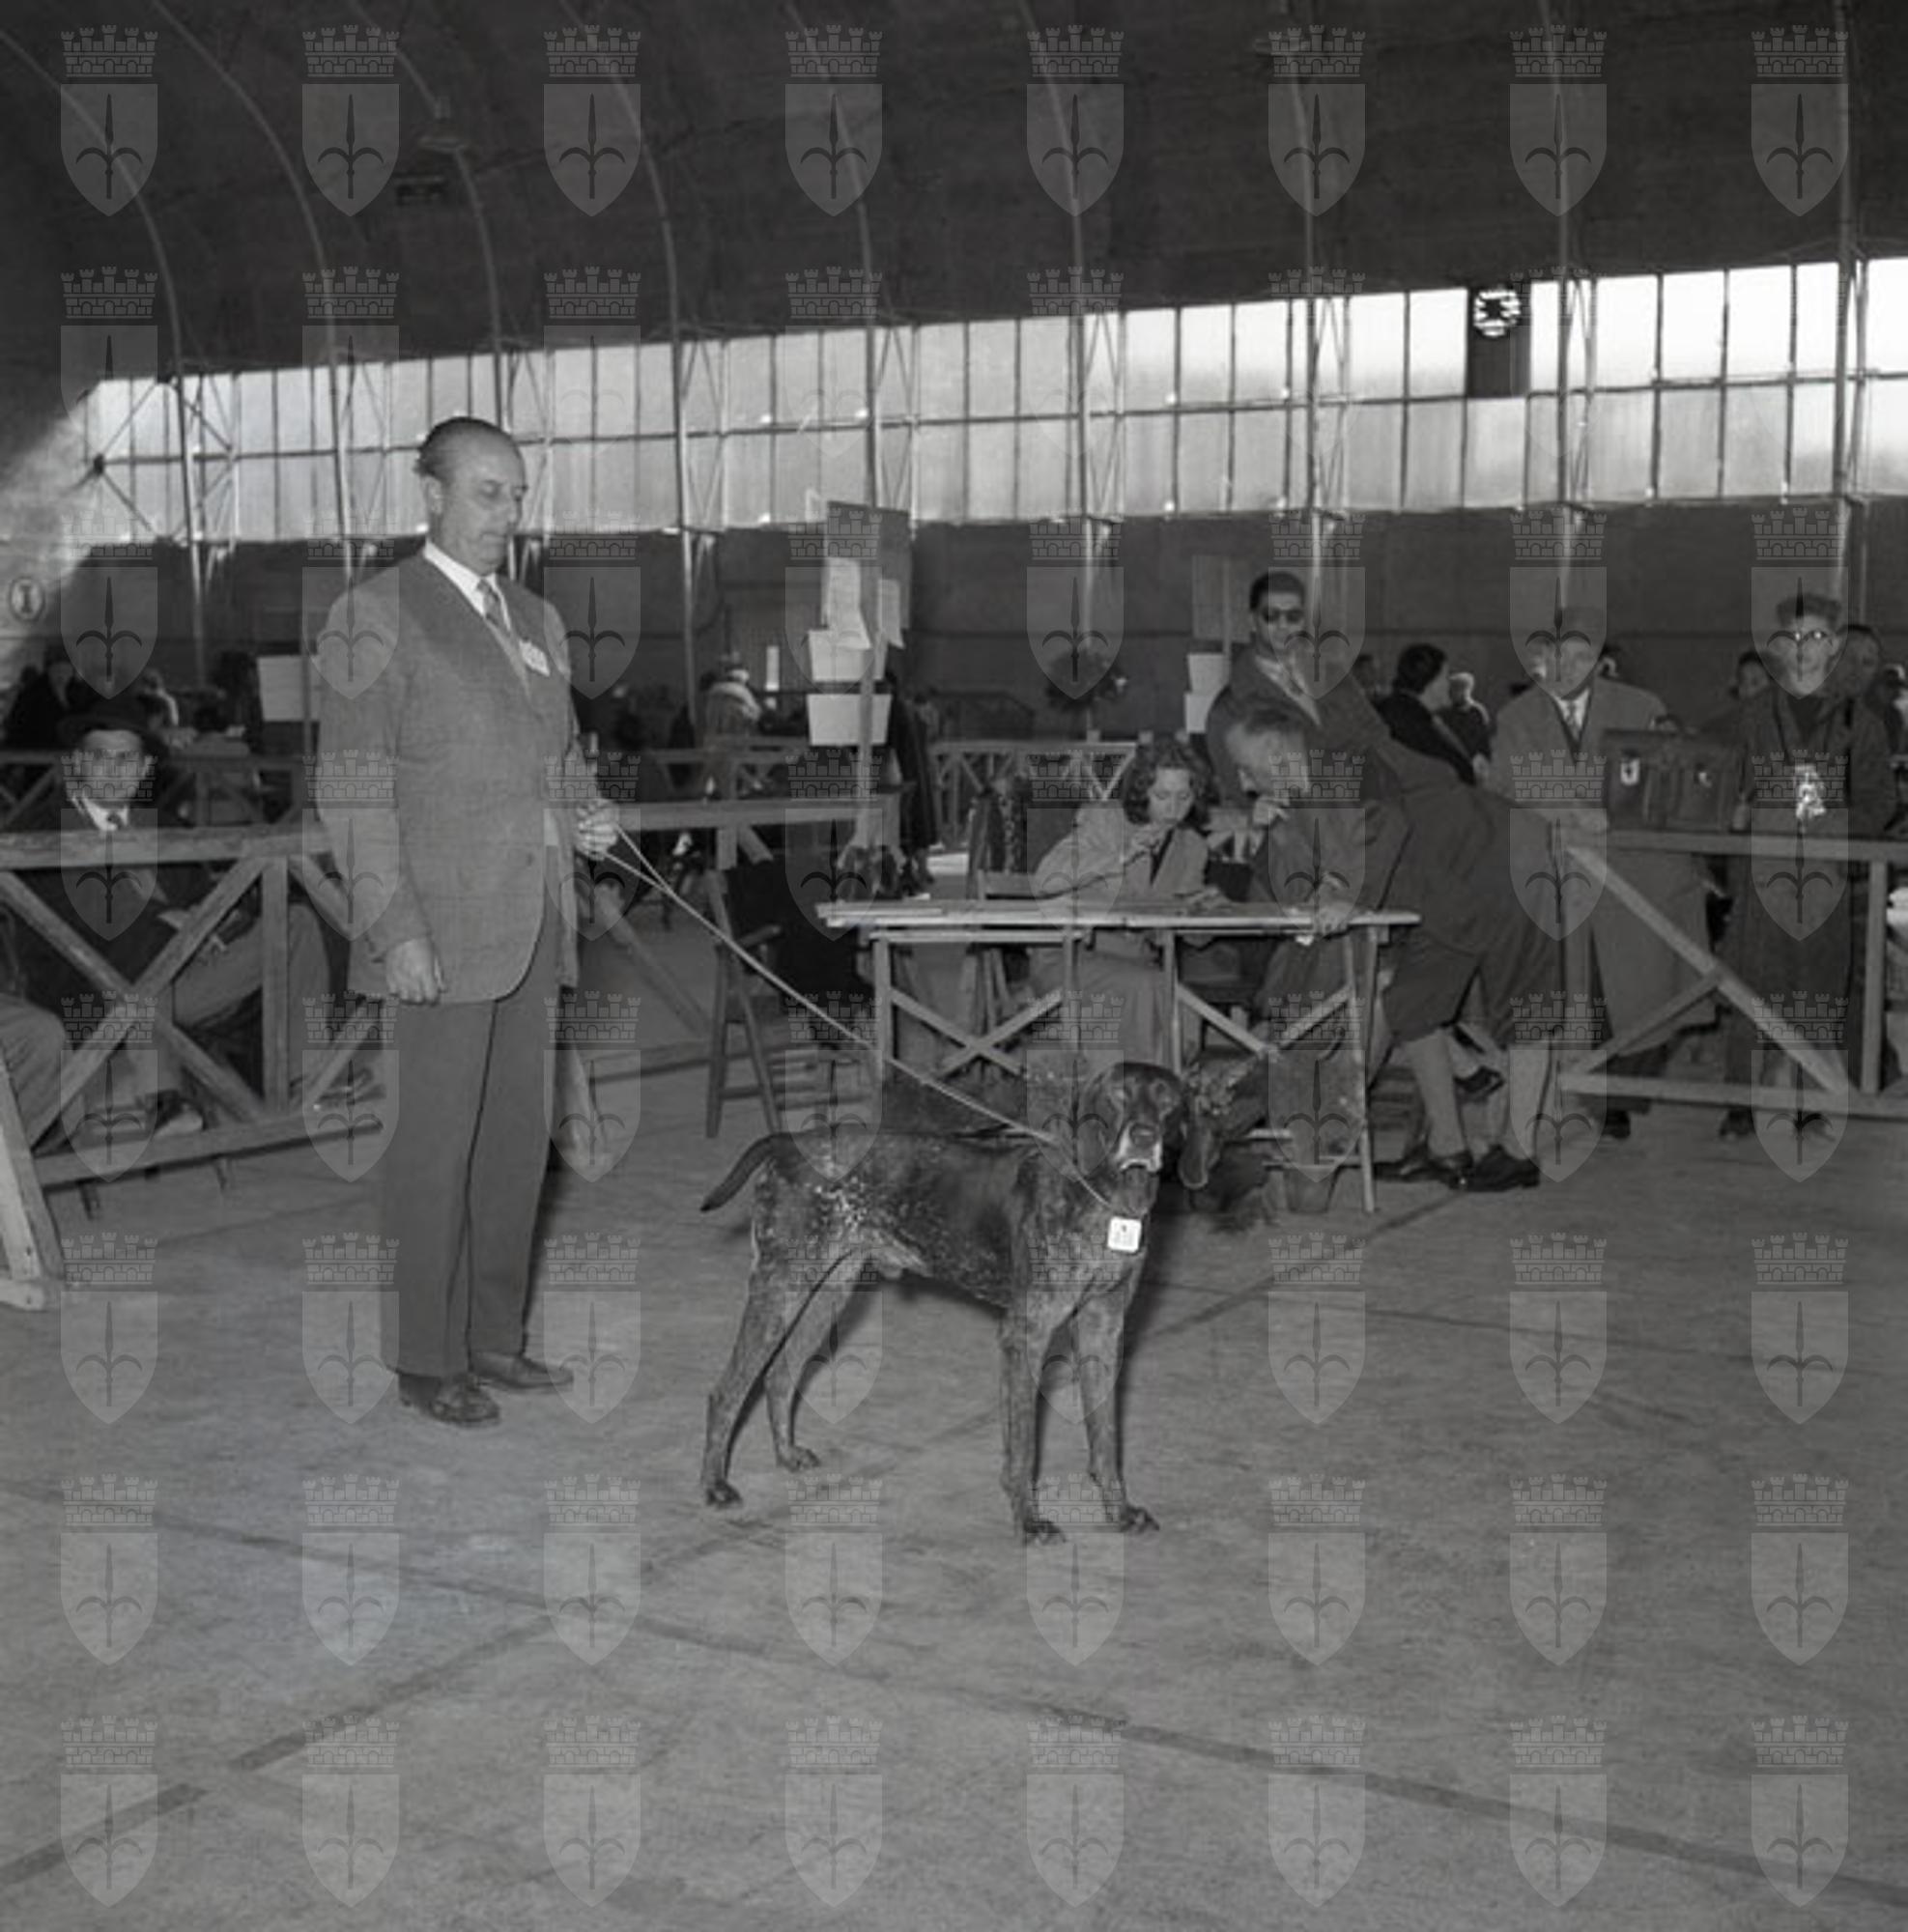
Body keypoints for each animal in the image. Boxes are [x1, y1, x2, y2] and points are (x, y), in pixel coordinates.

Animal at [699, 1060, 1246, 1541]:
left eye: (1170, 1102)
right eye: (1118, 1095)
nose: (1144, 1137)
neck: (1109, 1198)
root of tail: (789, 1145)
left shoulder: (1103, 1329)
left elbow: (1106, 1440)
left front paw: (1119, 1511)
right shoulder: (1026, 1335)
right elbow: (1024, 1447)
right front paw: (1028, 1521)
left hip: (829, 1291)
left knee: (779, 1374)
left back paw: (786, 1455)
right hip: (781, 1286)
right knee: (726, 1391)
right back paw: (714, 1486)